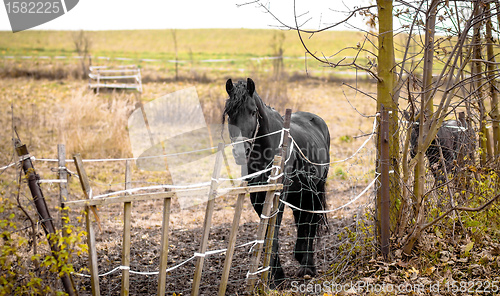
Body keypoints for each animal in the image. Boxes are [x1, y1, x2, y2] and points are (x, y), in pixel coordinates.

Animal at [224, 78, 332, 284]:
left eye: (253, 111)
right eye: (229, 113)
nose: (240, 151)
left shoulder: (277, 195)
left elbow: (273, 232)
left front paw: (277, 277)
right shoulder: (258, 197)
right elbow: (267, 232)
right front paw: (274, 274)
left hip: (315, 189)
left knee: (311, 220)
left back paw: (308, 266)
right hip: (299, 192)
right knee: (301, 219)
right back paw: (300, 255)